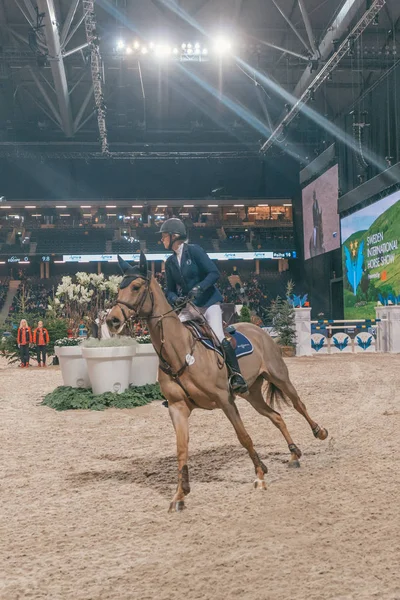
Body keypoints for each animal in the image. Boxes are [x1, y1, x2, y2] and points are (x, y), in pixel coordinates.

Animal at [107, 253, 328, 510]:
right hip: (251, 393)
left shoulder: (225, 400)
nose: (112, 320)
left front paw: (260, 475)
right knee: (276, 416)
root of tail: (258, 329)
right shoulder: (177, 407)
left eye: (135, 287)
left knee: (298, 405)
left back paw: (319, 432)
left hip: (279, 377)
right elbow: (181, 449)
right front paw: (180, 495)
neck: (180, 352)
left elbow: (244, 437)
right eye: (118, 288)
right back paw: (293, 454)